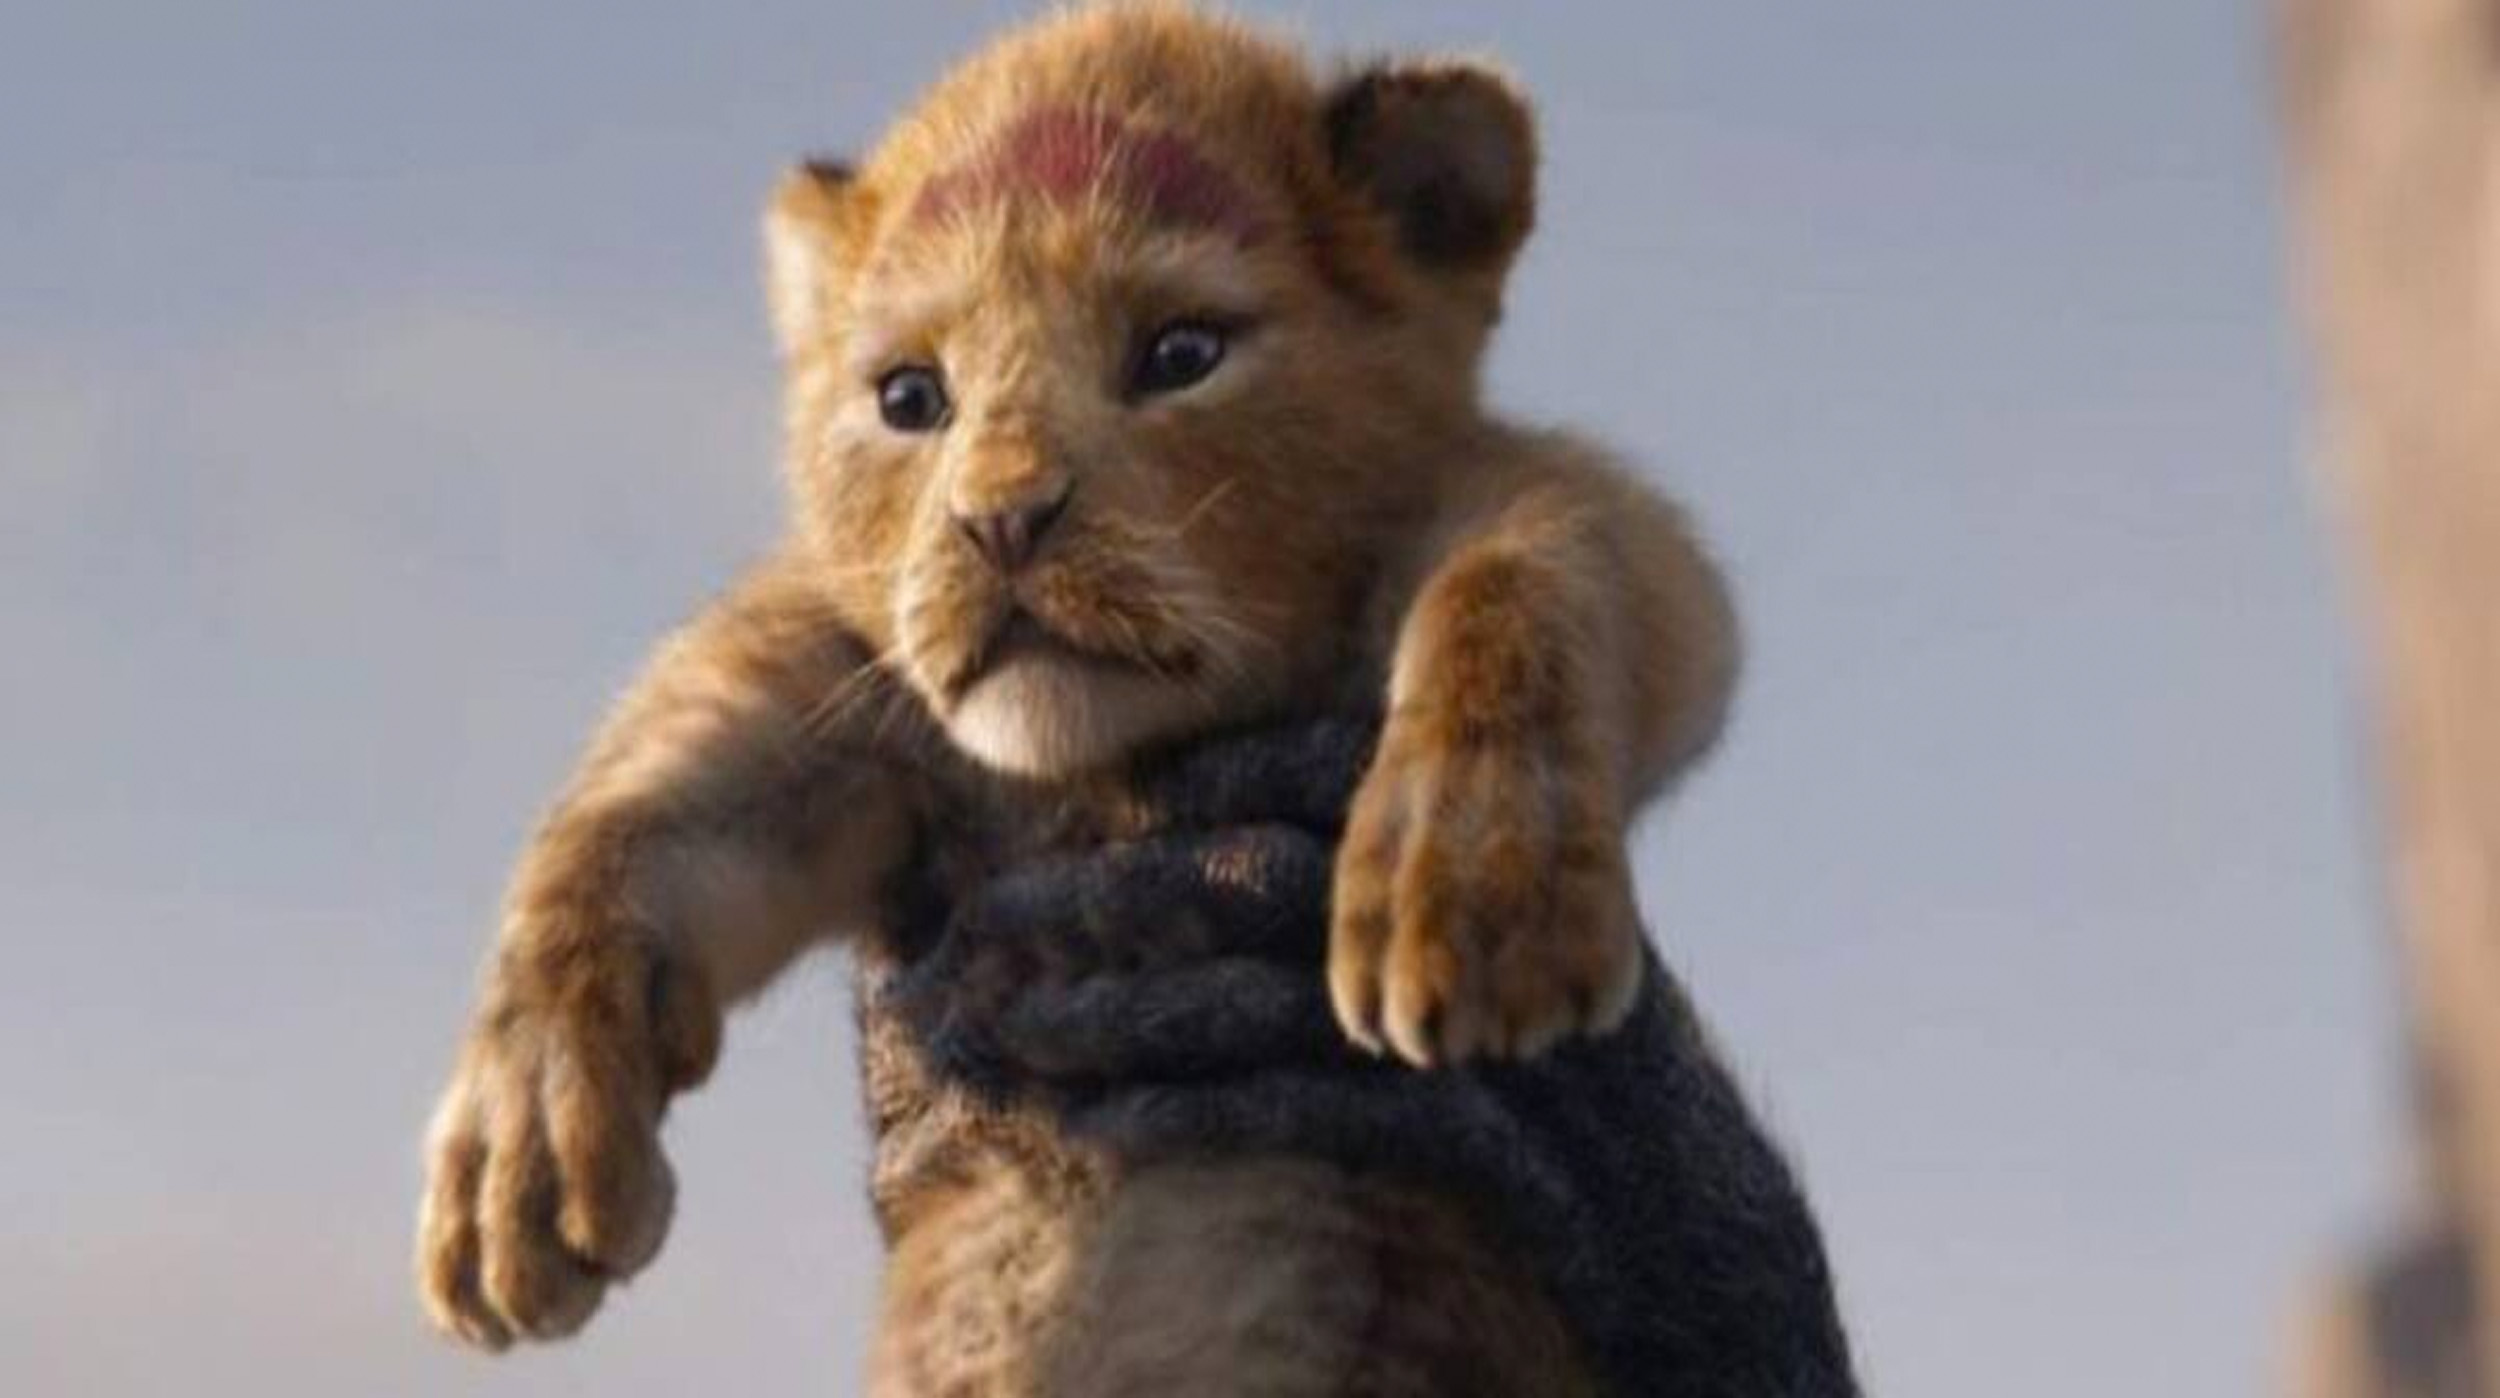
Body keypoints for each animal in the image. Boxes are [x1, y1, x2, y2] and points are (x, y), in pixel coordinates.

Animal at [415, 5, 1738, 1392]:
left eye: (1180, 354)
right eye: (909, 397)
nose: (1001, 521)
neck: (1101, 772)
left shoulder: (1552, 517)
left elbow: (1526, 571)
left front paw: (1472, 891)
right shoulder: (850, 696)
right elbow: (635, 811)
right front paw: (516, 1156)